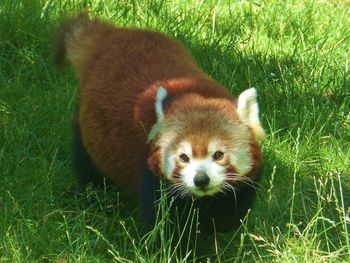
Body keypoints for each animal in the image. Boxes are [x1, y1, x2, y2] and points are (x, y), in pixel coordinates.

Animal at [53, 13, 264, 237]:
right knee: (87, 165)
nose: (201, 179)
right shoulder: (150, 173)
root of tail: (112, 34)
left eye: (218, 155)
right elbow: (165, 224)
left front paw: (218, 229)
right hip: (88, 130)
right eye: (183, 157)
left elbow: (231, 210)